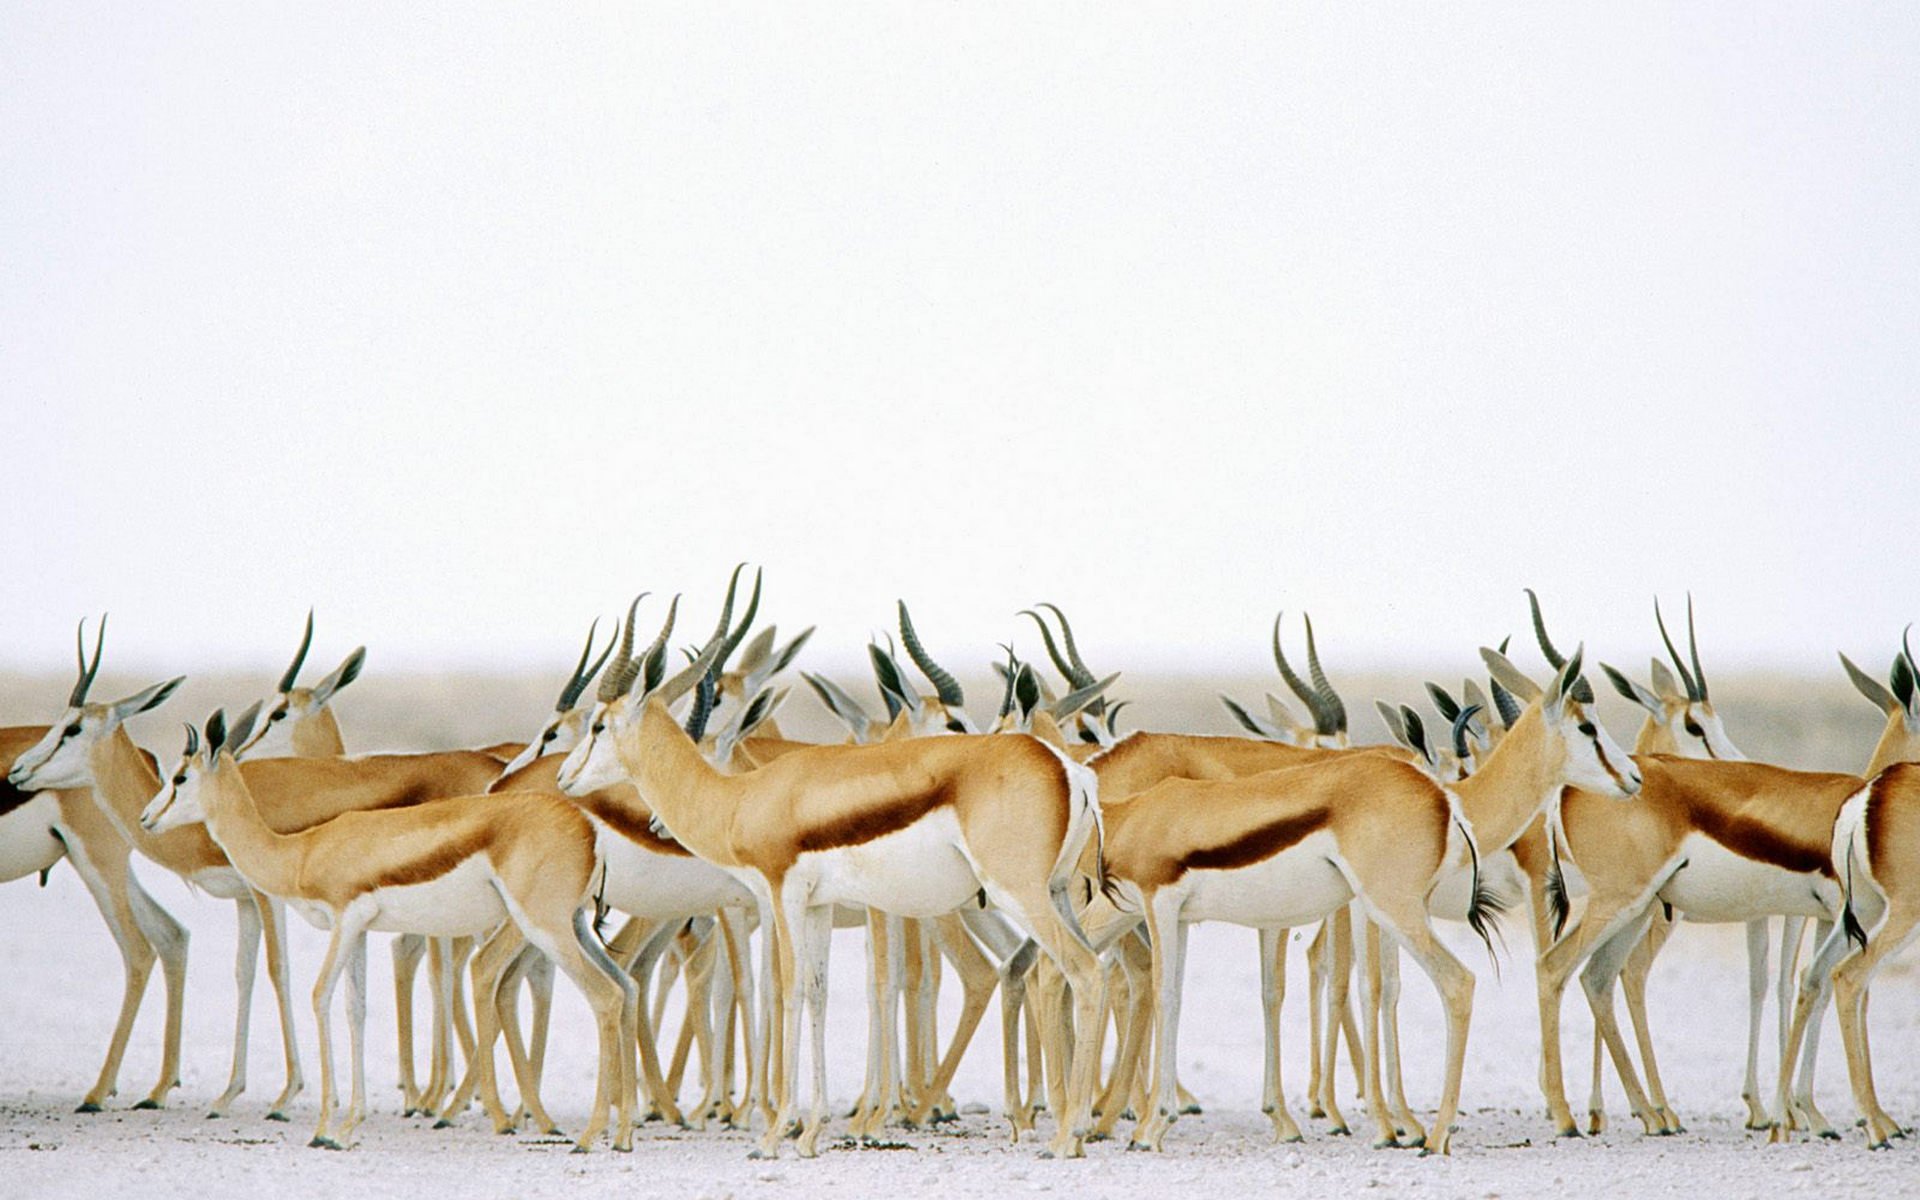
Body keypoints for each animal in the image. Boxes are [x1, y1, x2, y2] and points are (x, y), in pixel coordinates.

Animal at [141, 708, 639, 1151]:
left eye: (180, 777)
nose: (146, 818)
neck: (302, 852)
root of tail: (589, 831)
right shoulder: (361, 931)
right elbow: (355, 1008)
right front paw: (347, 1126)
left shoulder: (345, 919)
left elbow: (320, 996)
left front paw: (323, 1129)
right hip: (574, 927)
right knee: (625, 987)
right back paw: (620, 1136)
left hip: (544, 929)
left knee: (603, 996)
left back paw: (586, 1137)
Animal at [559, 596, 1111, 1160]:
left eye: (598, 725)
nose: (563, 778)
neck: (742, 797)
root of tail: (1069, 770)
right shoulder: (819, 905)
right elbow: (818, 990)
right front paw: (811, 1131)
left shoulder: (781, 893)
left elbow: (788, 990)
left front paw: (776, 1133)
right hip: (1058, 894)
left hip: (1019, 895)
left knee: (1084, 970)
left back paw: (1065, 1134)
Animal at [1104, 645, 1639, 1154]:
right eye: (1587, 725)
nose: (1634, 776)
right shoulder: (1366, 908)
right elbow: (1364, 986)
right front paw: (1387, 1124)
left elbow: (1367, 987)